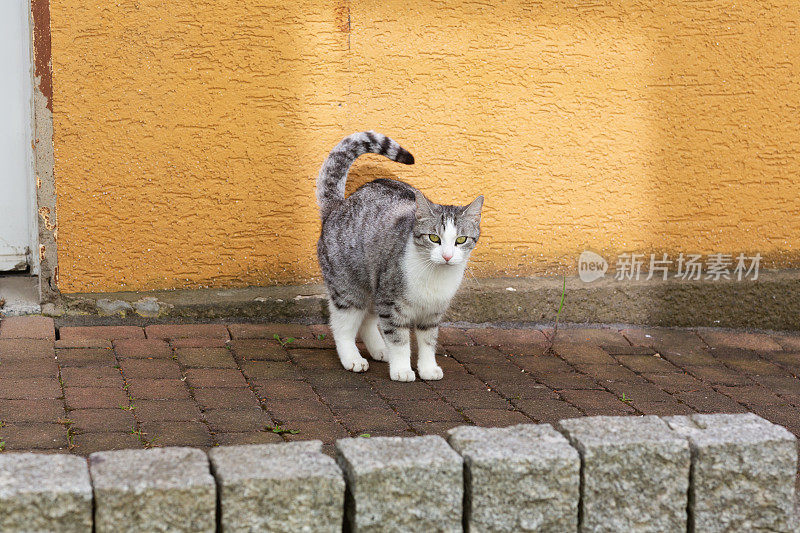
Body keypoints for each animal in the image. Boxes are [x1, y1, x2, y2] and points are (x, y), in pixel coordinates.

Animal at [318, 131, 482, 380]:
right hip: (349, 287)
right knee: (343, 325)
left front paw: (427, 368)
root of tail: (338, 206)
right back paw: (353, 359)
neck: (435, 276)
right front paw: (403, 370)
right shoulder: (391, 304)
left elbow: (428, 341)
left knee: (367, 322)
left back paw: (380, 350)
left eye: (461, 240)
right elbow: (399, 340)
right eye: (434, 238)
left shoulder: (432, 313)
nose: (447, 256)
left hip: (374, 283)